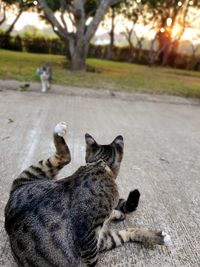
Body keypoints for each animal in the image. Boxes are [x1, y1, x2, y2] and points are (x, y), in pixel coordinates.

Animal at [3, 122, 171, 266]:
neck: (99, 166)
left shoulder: (96, 238)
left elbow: (121, 232)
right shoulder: (87, 239)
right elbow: (93, 257)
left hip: (36, 174)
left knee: (63, 157)